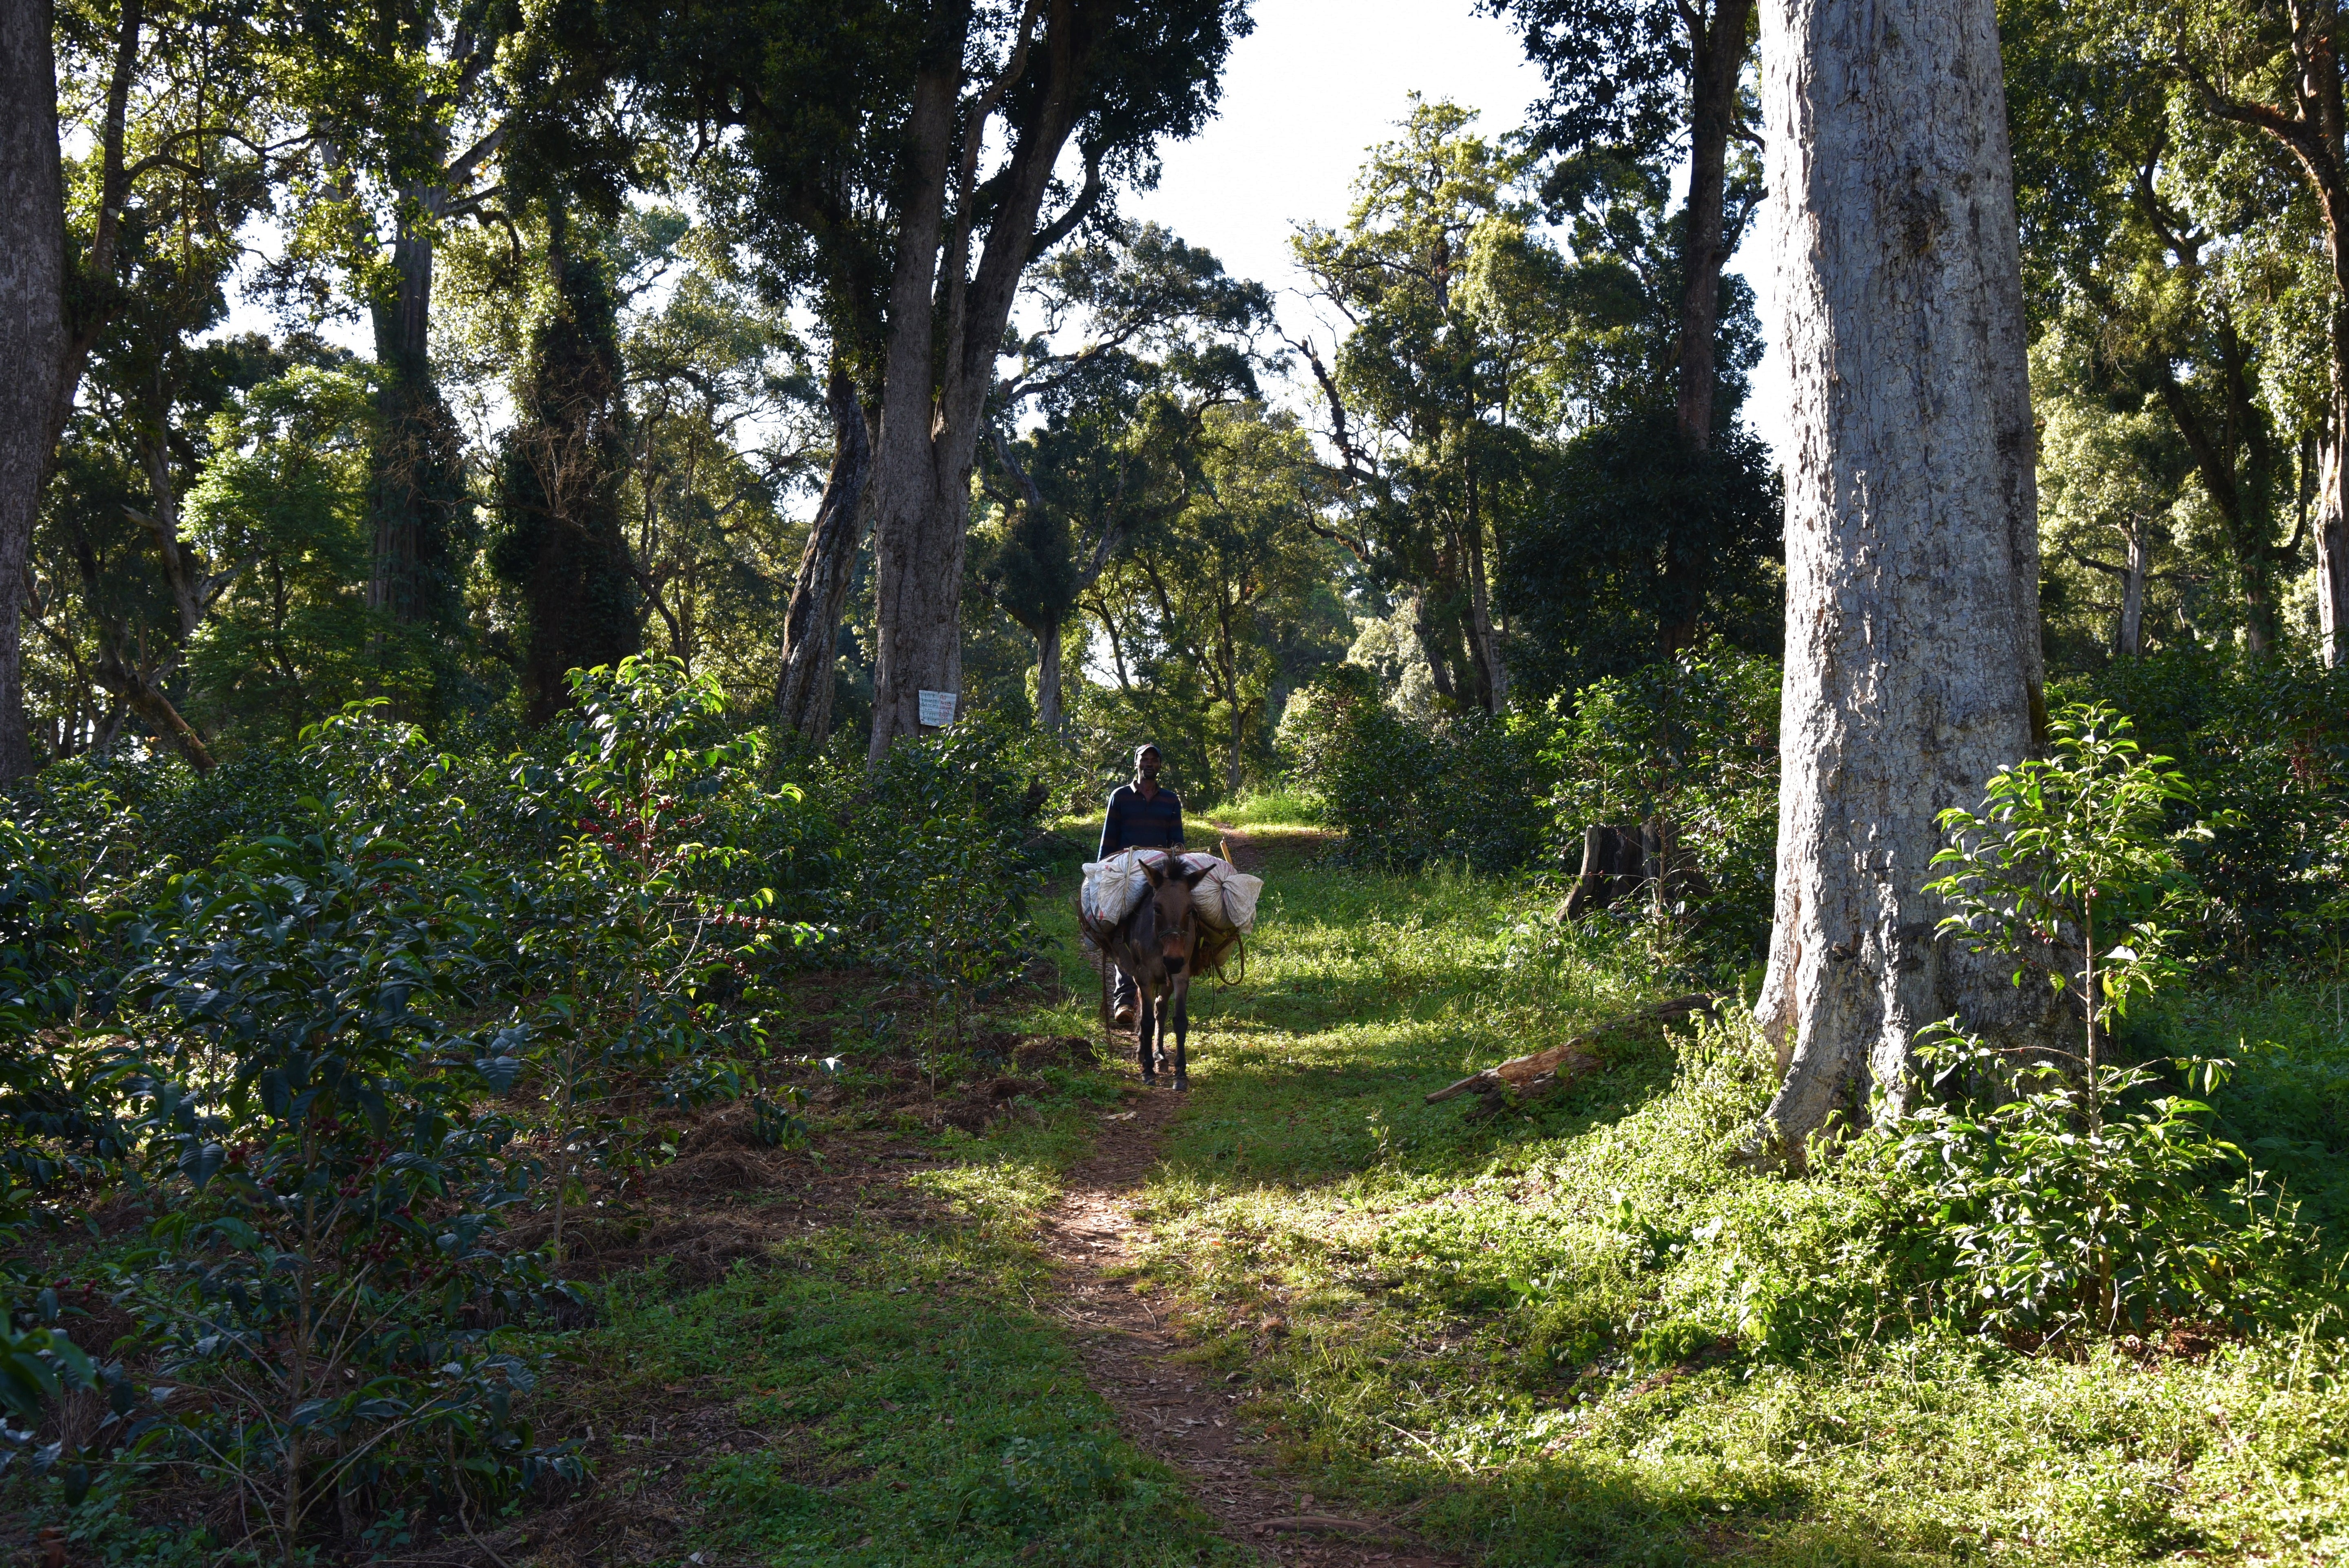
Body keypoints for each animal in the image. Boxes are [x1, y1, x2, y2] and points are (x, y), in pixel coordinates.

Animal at [1102, 852, 1209, 1089]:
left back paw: (1160, 1056)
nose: (1173, 961)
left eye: (1191, 911)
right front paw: (1148, 1071)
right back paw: (1143, 1054)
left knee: (1161, 1008)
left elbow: (1180, 1021)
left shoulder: (1181, 976)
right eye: (1157, 909)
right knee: (1145, 1009)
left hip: (1167, 978)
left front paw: (1181, 1073)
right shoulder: (1144, 977)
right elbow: (1147, 1021)